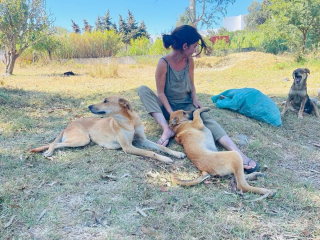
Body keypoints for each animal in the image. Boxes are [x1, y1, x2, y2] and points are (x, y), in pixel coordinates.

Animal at [30, 95, 185, 163]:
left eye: (105, 101)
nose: (89, 106)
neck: (130, 121)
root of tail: (68, 125)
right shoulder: (128, 147)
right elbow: (150, 152)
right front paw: (165, 159)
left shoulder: (142, 140)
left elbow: (162, 147)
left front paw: (176, 153)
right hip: (82, 139)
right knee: (54, 143)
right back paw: (49, 152)